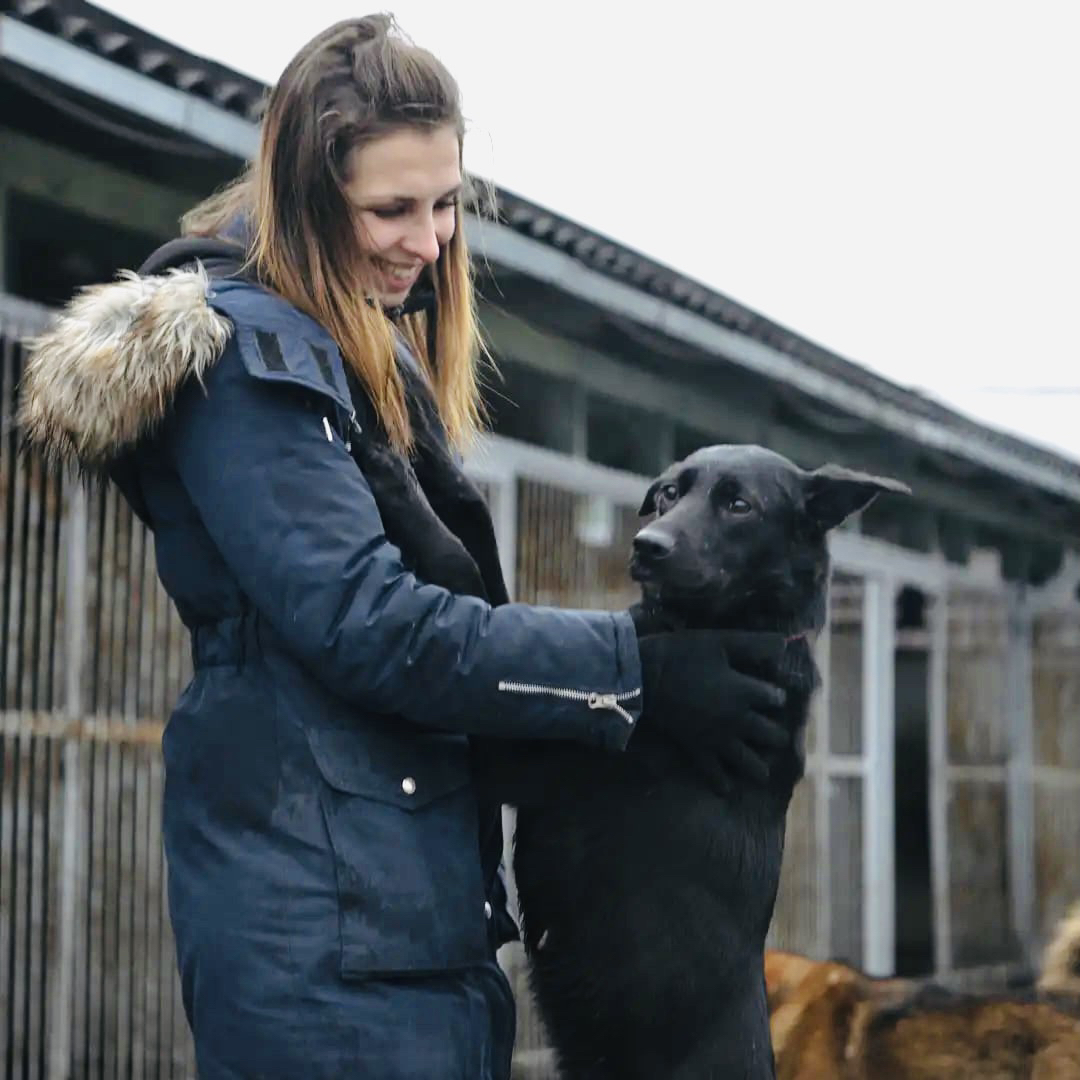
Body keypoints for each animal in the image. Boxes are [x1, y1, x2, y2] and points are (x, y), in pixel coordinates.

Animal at [358, 434, 907, 1075]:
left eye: (739, 505)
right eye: (669, 493)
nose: (648, 544)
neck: (730, 628)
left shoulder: (506, 750)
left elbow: (460, 563)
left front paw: (390, 472)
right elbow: (478, 536)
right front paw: (424, 438)